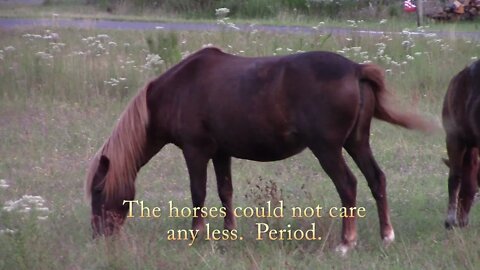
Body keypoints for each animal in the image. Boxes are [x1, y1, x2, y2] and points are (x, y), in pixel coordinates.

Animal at [86, 47, 436, 253]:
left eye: (99, 190)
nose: (99, 236)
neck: (179, 88)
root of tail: (355, 69)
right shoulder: (221, 153)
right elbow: (225, 192)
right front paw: (228, 234)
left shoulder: (195, 151)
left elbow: (198, 193)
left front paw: (197, 235)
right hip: (357, 143)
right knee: (377, 179)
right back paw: (386, 235)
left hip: (328, 149)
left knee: (347, 186)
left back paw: (345, 243)